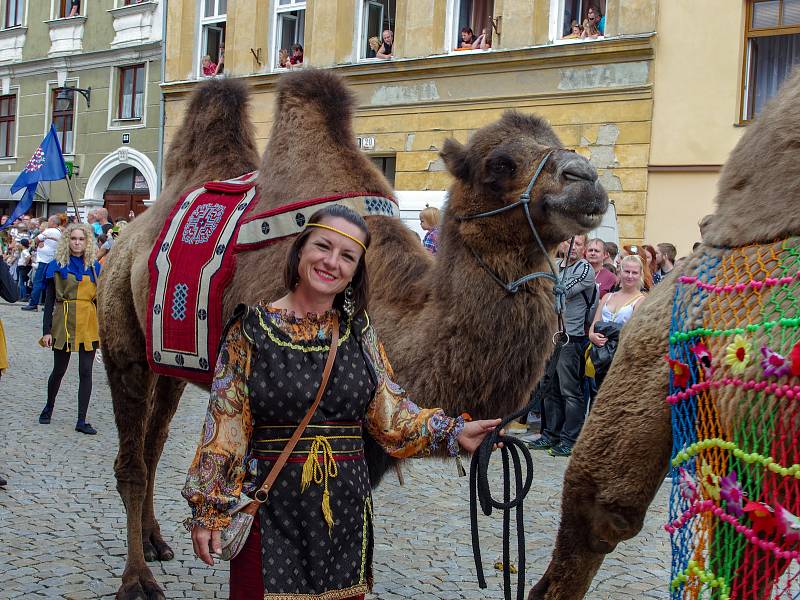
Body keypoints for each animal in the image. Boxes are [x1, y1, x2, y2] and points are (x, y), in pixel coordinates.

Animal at [98, 71, 608, 600]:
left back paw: (156, 539)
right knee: (133, 461)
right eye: (499, 164)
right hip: (122, 339)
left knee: (154, 443)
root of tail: (127, 234)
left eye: (559, 142)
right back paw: (137, 579)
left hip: (170, 364)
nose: (586, 179)